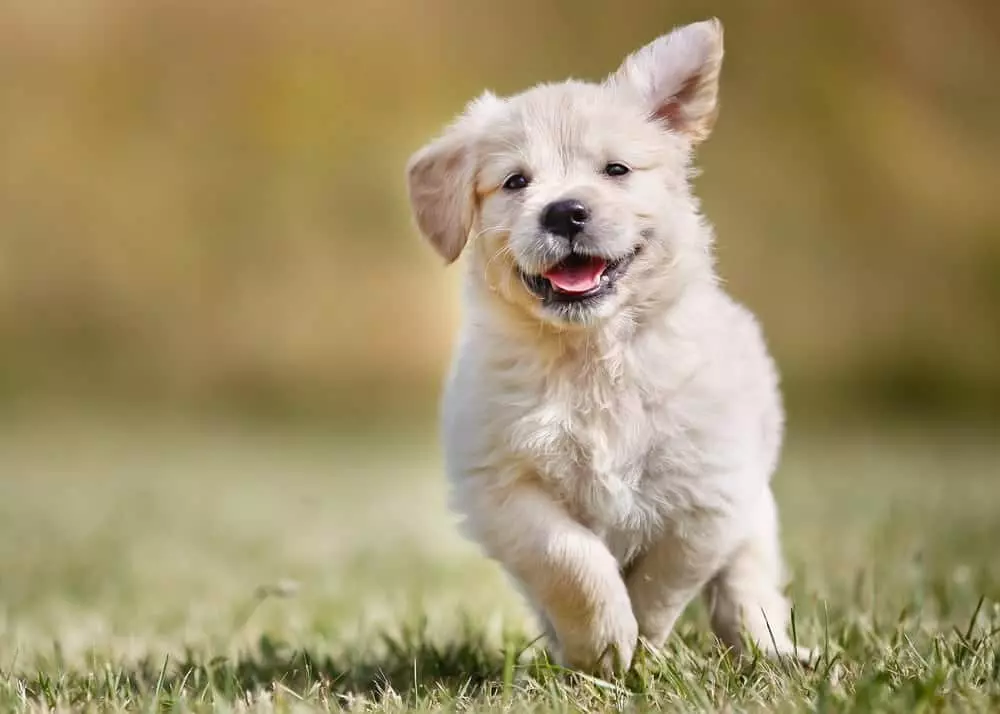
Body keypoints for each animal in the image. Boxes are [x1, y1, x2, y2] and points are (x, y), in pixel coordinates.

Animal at [402, 16, 808, 672]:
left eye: (616, 171)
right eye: (516, 182)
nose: (565, 212)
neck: (590, 353)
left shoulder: (709, 496)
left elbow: (662, 581)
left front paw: (638, 649)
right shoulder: (502, 487)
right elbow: (572, 562)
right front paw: (603, 649)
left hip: (755, 514)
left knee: (747, 586)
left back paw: (774, 651)